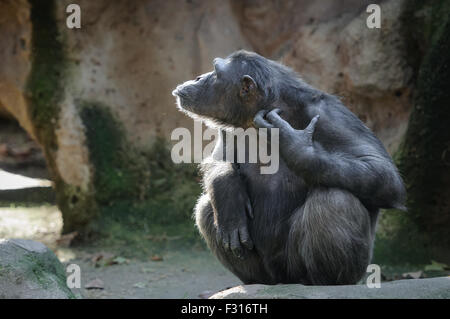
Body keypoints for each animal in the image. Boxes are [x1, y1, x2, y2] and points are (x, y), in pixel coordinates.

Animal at [171, 50, 406, 288]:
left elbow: (381, 170)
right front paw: (227, 191)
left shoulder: (331, 115)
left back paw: (326, 282)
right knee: (205, 207)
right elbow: (219, 158)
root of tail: (283, 280)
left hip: (301, 264)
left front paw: (292, 143)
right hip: (268, 270)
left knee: (335, 199)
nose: (199, 77)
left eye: (216, 72)